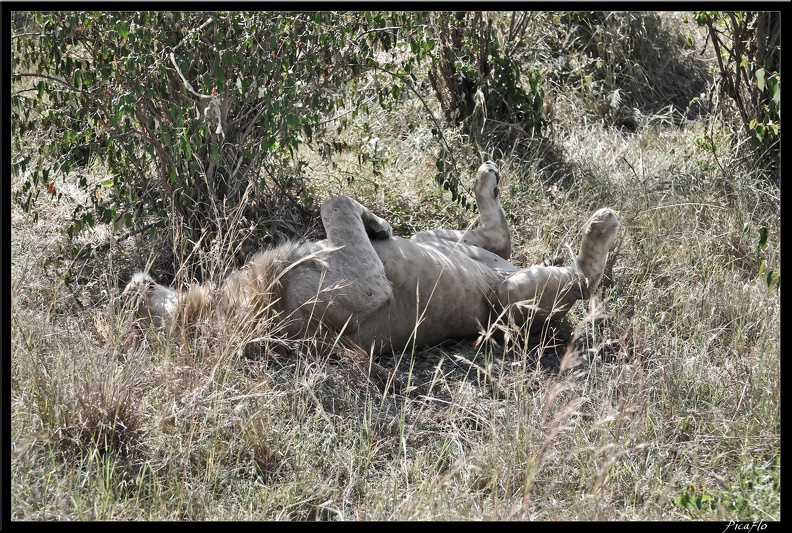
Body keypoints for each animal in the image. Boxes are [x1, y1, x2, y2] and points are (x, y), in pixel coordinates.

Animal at [122, 161, 620, 354]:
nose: (133, 284)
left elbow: (335, 200)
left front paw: (377, 224)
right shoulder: (365, 287)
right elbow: (334, 198)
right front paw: (374, 223)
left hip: (443, 240)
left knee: (498, 238)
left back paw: (485, 179)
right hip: (509, 298)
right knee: (583, 279)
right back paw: (601, 226)